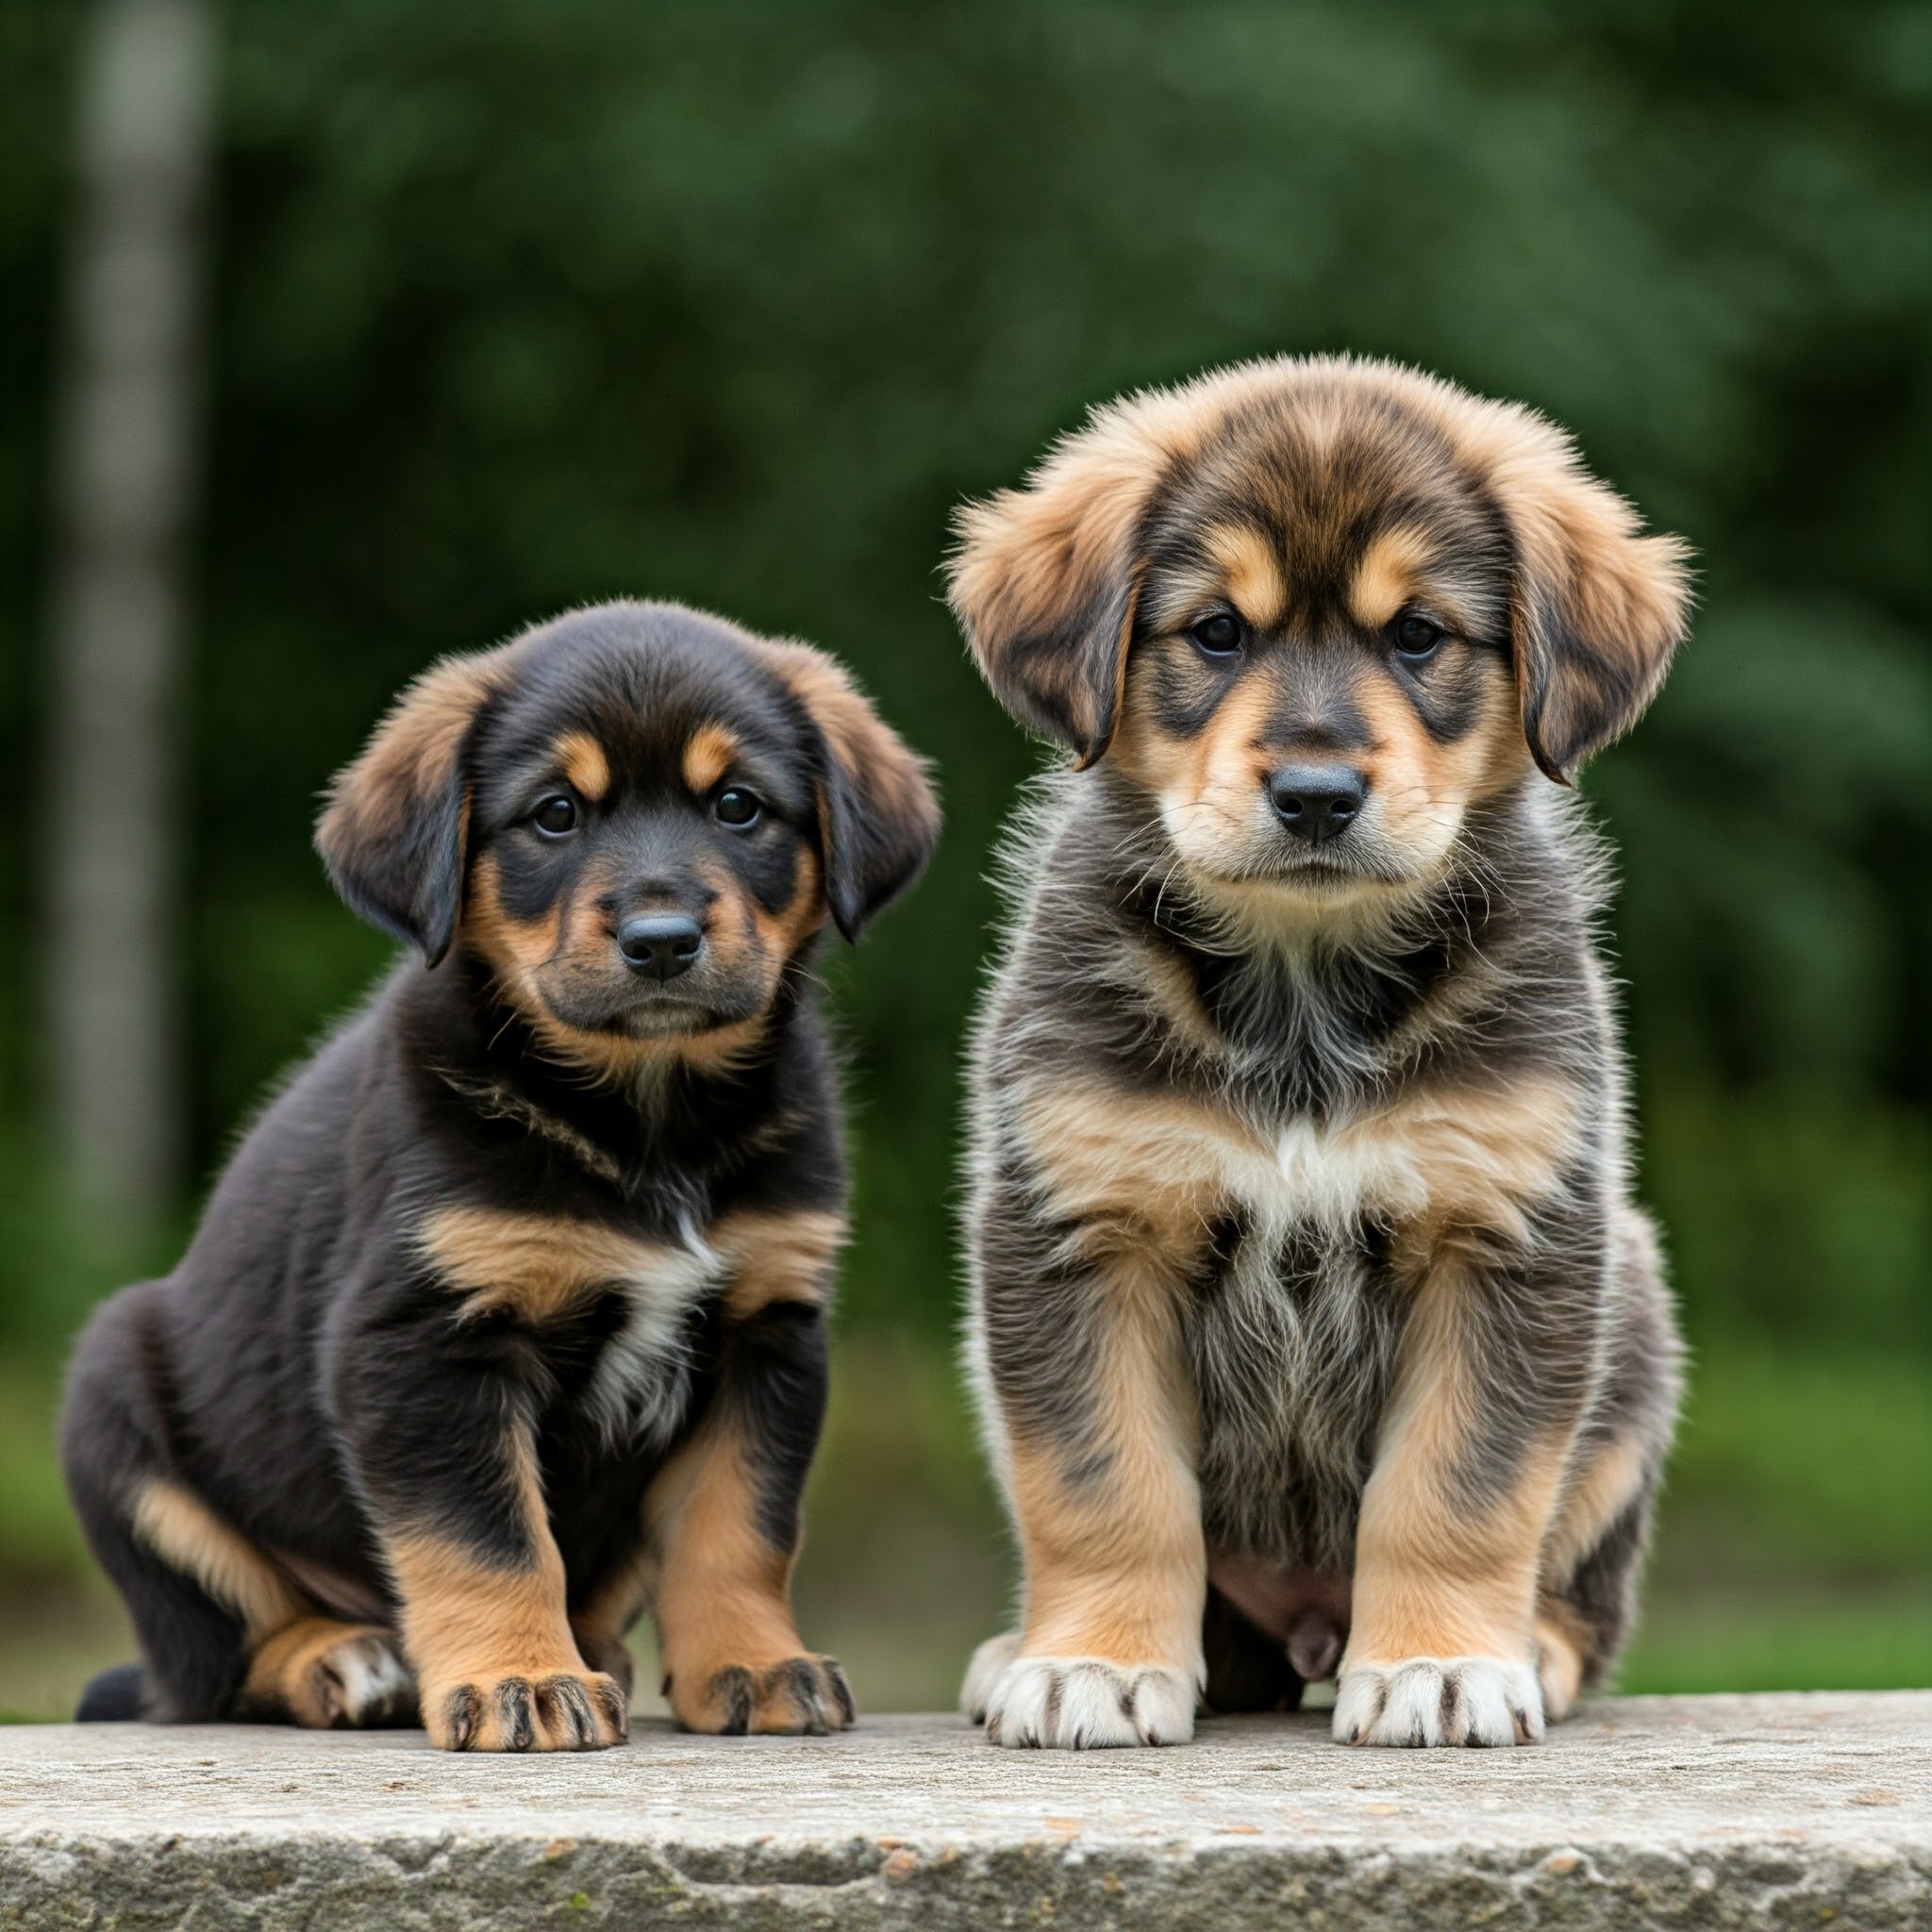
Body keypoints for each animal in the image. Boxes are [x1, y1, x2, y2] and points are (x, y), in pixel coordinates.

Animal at [60, 594, 935, 1746]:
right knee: (216, 1660)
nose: (663, 939)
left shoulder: (766, 1329)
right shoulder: (424, 1343)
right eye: (555, 815)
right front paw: (520, 1678)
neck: (647, 1121)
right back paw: (348, 1659)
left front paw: (752, 1662)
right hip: (116, 1408)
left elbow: (737, 1523)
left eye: (738, 806)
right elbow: (488, 1536)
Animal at [950, 355, 1692, 1746]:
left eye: (1418, 635)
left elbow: (1457, 1488)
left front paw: (1439, 1662)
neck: (1301, 982)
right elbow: (1101, 1482)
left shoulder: (1502, 1234)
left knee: (1584, 1586)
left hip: (1631, 1327)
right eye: (1214, 632)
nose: (1314, 797)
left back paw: (1531, 1648)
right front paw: (1093, 1663)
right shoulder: (1086, 1228)